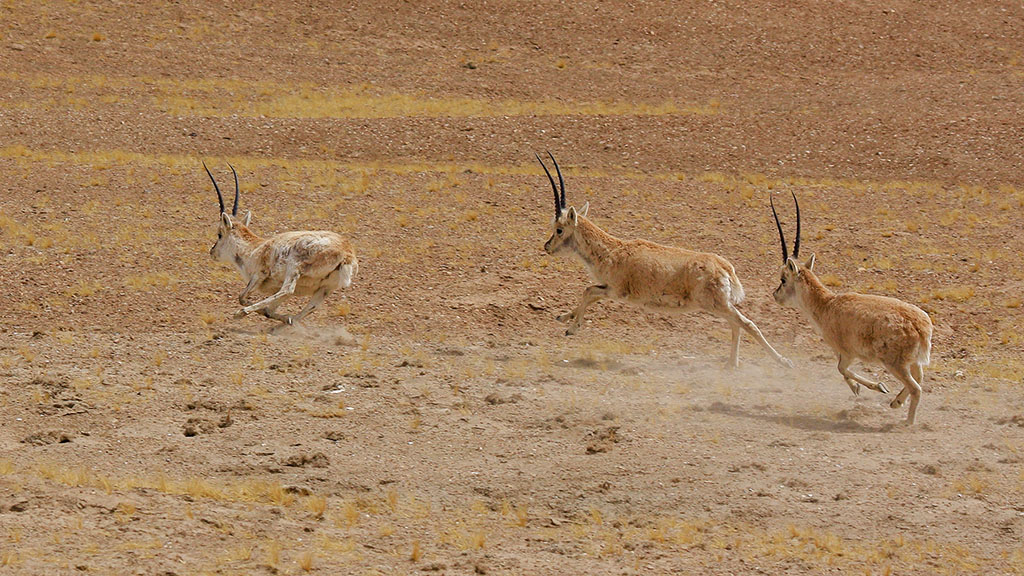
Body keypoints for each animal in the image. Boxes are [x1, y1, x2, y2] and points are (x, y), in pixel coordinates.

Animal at [201, 161, 358, 325]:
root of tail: (347, 253)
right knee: (309, 307)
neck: (255, 248)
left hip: (294, 267)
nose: (212, 252)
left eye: (219, 234)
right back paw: (288, 322)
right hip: (324, 289)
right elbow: (269, 310)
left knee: (287, 290)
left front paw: (242, 312)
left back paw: (242, 312)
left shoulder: (258, 275)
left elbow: (242, 297)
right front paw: (282, 318)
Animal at [540, 152, 794, 366]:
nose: (547, 246)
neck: (613, 251)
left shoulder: (616, 291)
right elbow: (587, 292)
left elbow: (589, 292)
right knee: (737, 325)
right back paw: (732, 364)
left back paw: (783, 361)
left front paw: (572, 328)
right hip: (721, 305)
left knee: (747, 324)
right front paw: (563, 316)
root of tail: (725, 268)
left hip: (716, 305)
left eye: (559, 229)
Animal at [770, 192, 937, 422]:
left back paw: (907, 423)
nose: (775, 295)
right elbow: (841, 370)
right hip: (914, 362)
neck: (827, 304)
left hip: (895, 364)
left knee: (916, 388)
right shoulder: (842, 353)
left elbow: (841, 369)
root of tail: (921, 327)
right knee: (919, 379)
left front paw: (876, 386)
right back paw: (896, 402)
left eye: (783, 279)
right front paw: (865, 389)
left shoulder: (847, 353)